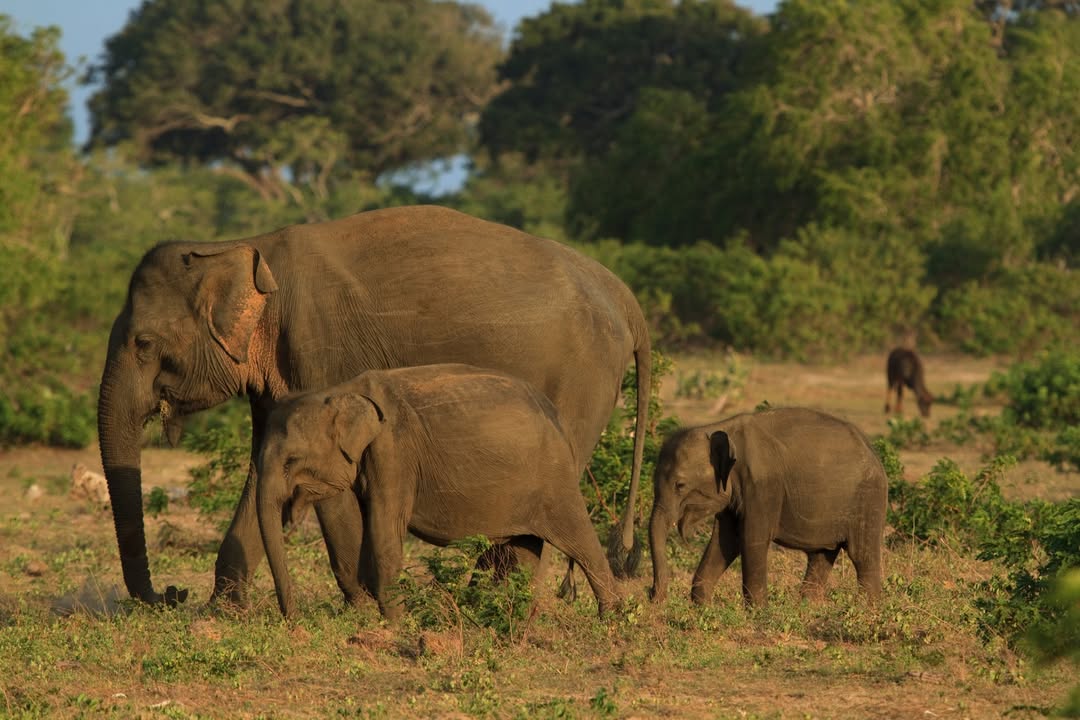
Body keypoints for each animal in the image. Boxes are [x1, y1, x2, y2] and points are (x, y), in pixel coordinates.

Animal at [256, 364, 621, 619]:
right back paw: (510, 618)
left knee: (581, 542)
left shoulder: (394, 454)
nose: (293, 620)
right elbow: (366, 530)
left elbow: (384, 532)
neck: (340, 391)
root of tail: (557, 417)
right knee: (525, 551)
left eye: (291, 461)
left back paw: (611, 621)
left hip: (555, 480)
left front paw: (394, 624)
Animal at [649, 407, 886, 607]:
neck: (719, 428)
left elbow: (751, 539)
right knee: (820, 555)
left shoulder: (763, 488)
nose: (652, 595)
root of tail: (872, 451)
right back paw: (809, 607)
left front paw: (758, 612)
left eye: (680, 485)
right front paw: (703, 608)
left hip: (868, 500)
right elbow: (726, 541)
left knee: (862, 555)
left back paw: (868, 609)